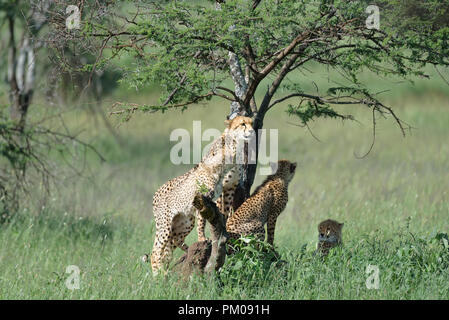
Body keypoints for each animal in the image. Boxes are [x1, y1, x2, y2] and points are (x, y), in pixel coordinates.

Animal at [146, 116, 252, 274]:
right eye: (243, 124)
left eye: (251, 122)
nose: (251, 130)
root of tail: (156, 193)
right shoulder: (205, 198)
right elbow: (203, 221)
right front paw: (202, 239)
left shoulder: (228, 189)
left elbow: (225, 211)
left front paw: (224, 227)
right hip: (165, 225)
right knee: (156, 251)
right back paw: (158, 275)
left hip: (184, 221)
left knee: (173, 242)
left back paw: (182, 256)